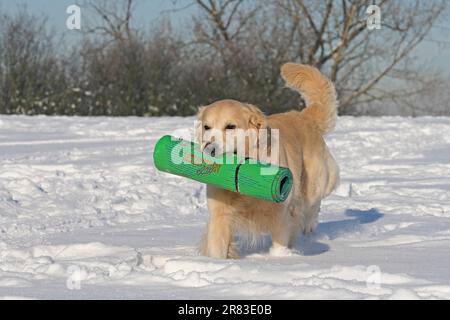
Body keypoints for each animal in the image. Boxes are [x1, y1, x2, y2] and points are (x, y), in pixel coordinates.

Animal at [195, 63, 340, 258]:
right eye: (206, 127)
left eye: (230, 126)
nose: (209, 149)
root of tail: (304, 116)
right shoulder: (220, 214)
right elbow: (217, 246)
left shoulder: (280, 211)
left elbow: (280, 239)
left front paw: (277, 257)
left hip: (315, 182)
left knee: (312, 204)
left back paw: (309, 227)